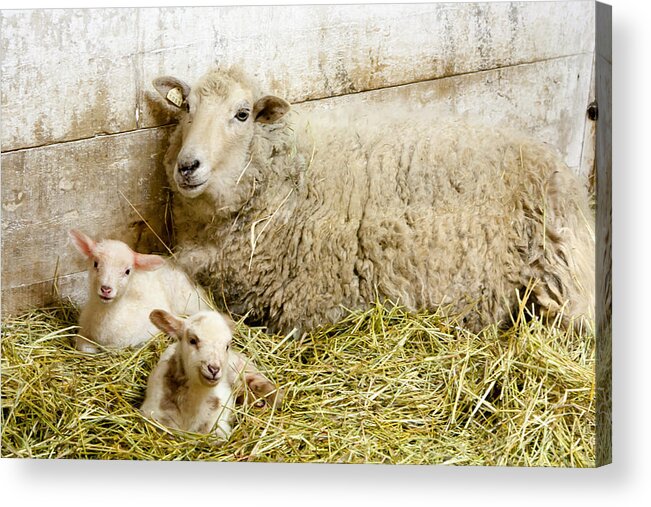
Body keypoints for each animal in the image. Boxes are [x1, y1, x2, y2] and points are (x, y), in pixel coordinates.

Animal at [69, 230, 211, 354]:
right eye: (95, 263)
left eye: (127, 271)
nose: (106, 289)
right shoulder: (83, 330)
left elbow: (113, 350)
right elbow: (83, 346)